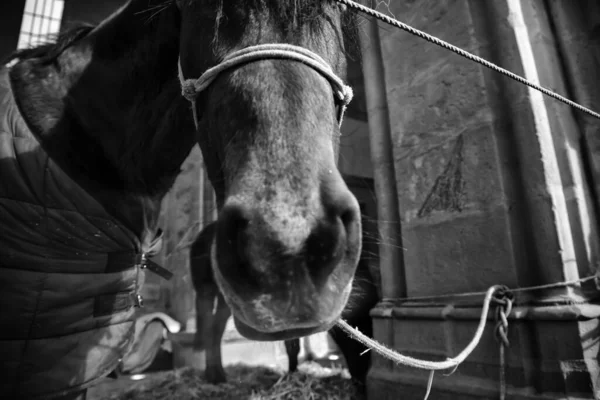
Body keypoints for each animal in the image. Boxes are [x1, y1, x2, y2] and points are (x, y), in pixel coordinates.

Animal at [190, 220, 378, 392]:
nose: (361, 382)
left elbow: (293, 347)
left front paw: (293, 375)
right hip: (203, 289)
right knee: (209, 326)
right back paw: (215, 377)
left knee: (216, 328)